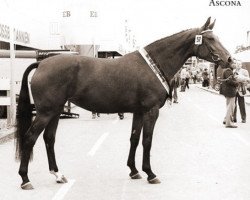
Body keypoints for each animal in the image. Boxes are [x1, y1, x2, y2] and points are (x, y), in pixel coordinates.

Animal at [15, 16, 232, 189]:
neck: (153, 64)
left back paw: (58, 174)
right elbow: (147, 140)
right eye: (210, 38)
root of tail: (42, 63)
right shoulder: (151, 111)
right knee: (30, 138)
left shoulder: (138, 112)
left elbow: (134, 138)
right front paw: (150, 173)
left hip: (55, 110)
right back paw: (25, 179)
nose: (230, 60)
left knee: (49, 139)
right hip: (45, 112)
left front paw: (134, 171)